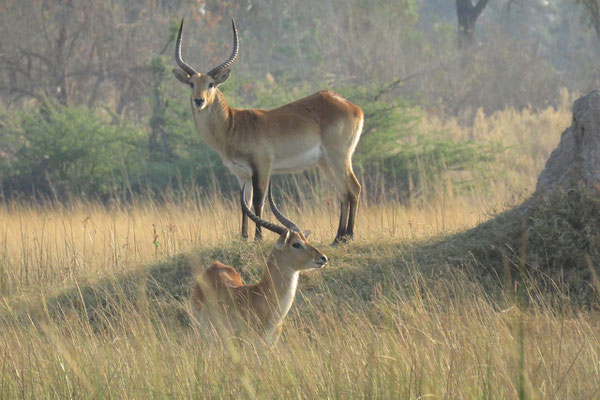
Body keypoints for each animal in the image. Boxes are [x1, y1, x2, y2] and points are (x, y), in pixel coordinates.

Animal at [171, 18, 364, 244]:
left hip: (339, 158)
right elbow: (243, 205)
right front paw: (244, 238)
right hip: (325, 163)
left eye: (211, 83)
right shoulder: (241, 174)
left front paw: (258, 238)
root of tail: (353, 107)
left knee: (354, 189)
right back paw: (337, 238)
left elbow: (258, 202)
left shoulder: (262, 167)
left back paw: (349, 236)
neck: (232, 125)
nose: (199, 100)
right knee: (343, 193)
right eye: (191, 83)